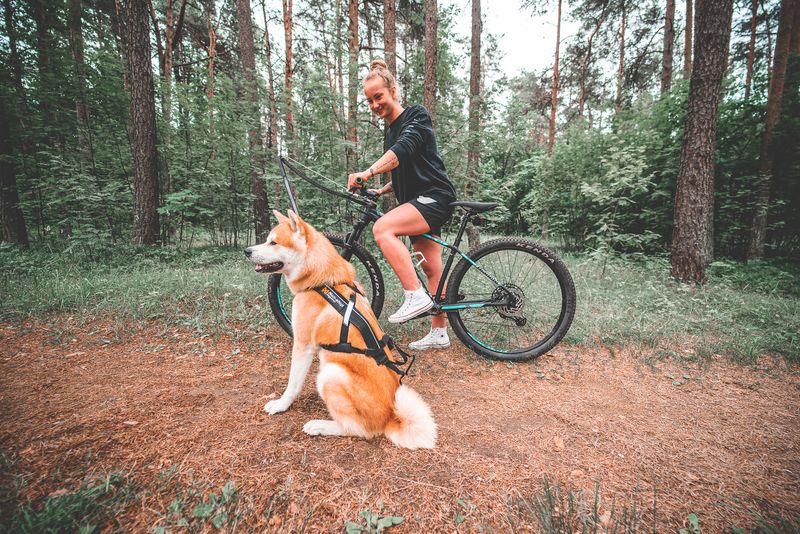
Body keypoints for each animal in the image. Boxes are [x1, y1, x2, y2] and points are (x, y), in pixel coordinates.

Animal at [245, 211, 438, 450]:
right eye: (267, 240)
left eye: (273, 242)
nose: (247, 251)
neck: (324, 282)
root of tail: (391, 417)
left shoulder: (302, 346)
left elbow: (293, 384)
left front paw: (281, 404)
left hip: (330, 374)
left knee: (357, 429)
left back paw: (320, 425)